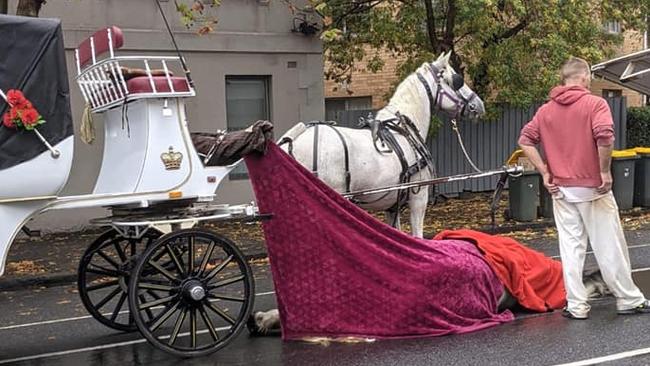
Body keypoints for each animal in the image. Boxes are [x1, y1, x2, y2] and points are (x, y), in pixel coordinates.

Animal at [280, 52, 484, 240]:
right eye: (456, 80)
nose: (479, 104)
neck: (403, 128)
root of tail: (293, 142)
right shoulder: (418, 198)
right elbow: (417, 236)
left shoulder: (392, 205)